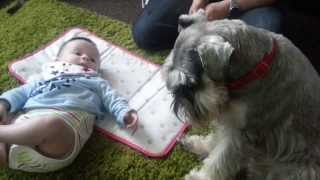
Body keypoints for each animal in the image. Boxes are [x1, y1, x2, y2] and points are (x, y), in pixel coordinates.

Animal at [161, 10, 320, 179]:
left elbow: (220, 160)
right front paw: (200, 145)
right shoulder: (230, 120)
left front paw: (199, 176)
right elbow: (217, 141)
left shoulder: (244, 135)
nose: (184, 113)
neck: (254, 67)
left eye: (190, 85)